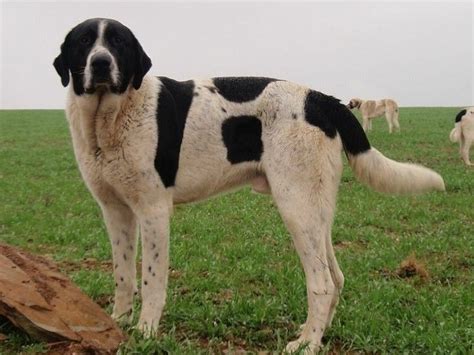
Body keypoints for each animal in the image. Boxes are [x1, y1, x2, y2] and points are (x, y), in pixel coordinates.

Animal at [53, 18, 446, 354]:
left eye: (118, 43)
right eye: (85, 41)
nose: (100, 63)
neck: (110, 116)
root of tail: (321, 99)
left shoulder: (153, 212)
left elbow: (151, 280)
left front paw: (146, 331)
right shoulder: (116, 212)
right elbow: (122, 275)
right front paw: (118, 322)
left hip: (296, 208)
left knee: (321, 282)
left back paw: (307, 344)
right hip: (316, 213)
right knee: (336, 277)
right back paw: (316, 335)